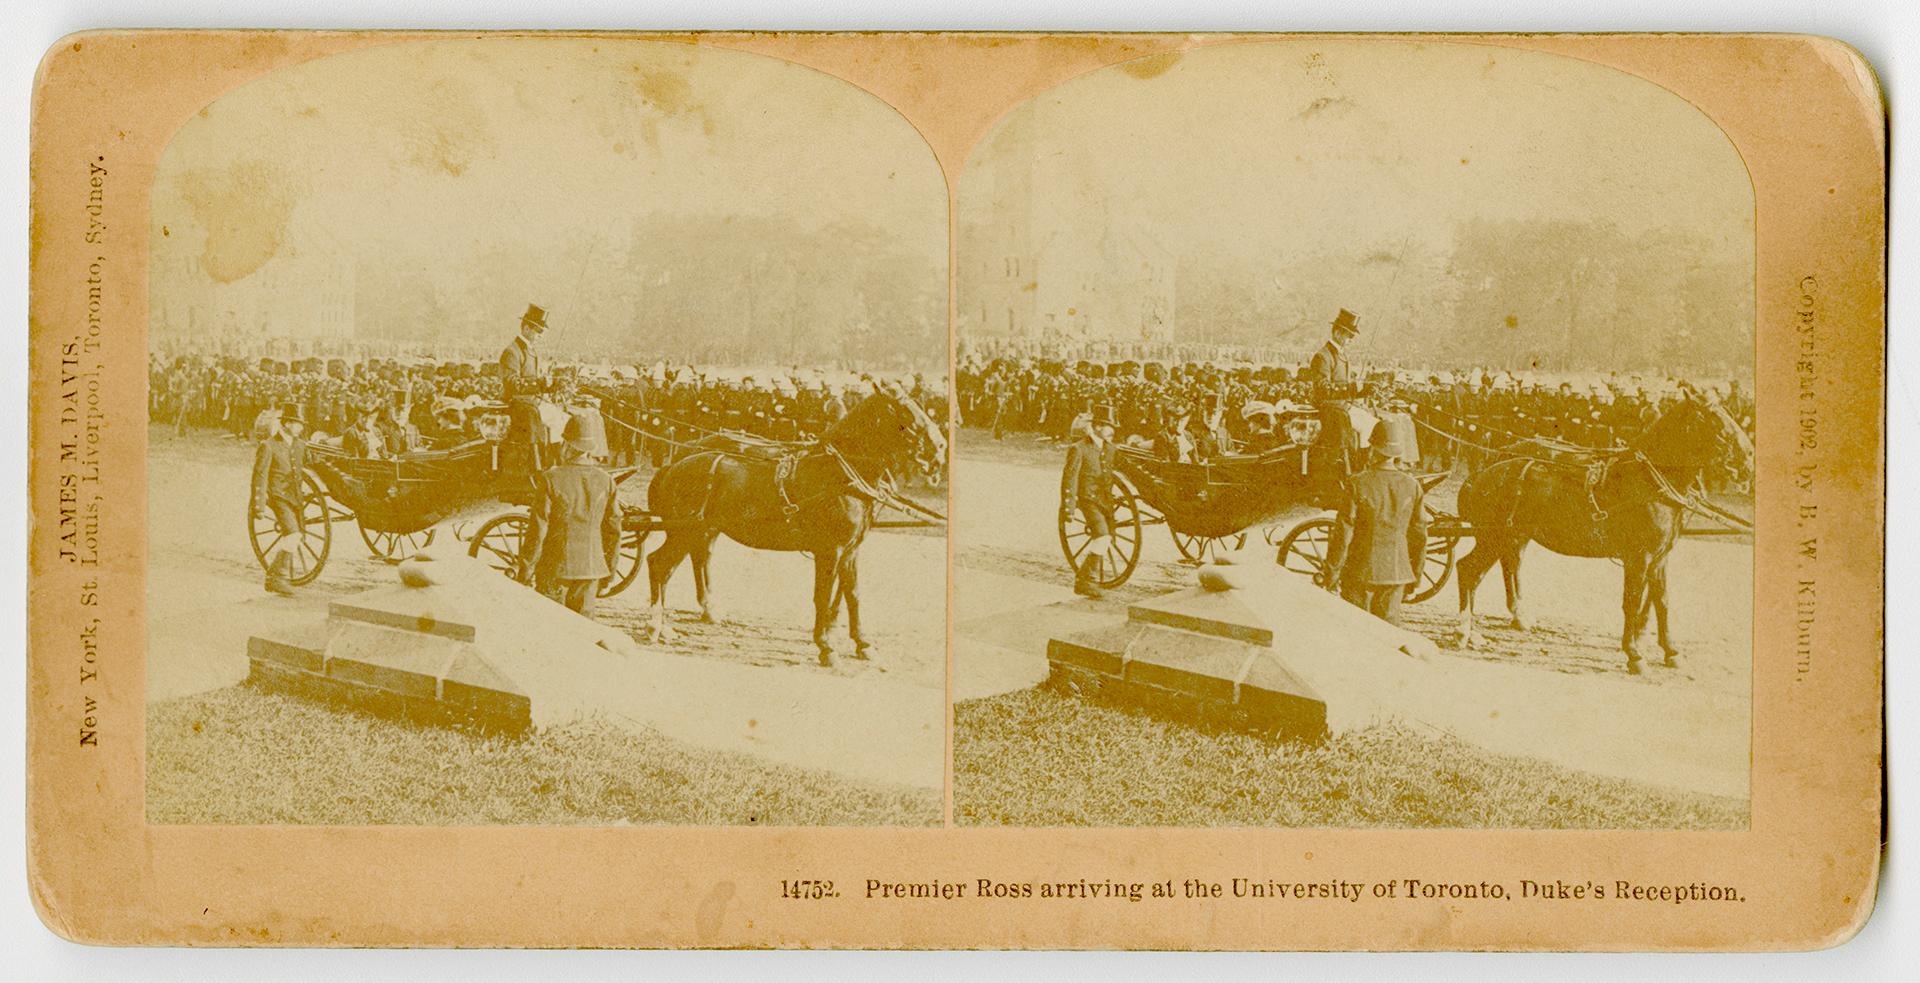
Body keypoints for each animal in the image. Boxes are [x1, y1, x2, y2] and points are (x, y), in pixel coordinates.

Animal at [645, 387, 944, 664]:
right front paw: (826, 647)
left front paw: (863, 644)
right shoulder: (829, 551)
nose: (940, 449)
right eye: (904, 412)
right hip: (683, 532)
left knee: (688, 561)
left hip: (700, 530)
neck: (837, 474)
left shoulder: (851, 550)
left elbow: (853, 594)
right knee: (658, 564)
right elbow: (822, 596)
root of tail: (674, 465)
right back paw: (656, 624)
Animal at [1451, 391, 1758, 675]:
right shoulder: (1638, 558)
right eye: (1713, 418)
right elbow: (1632, 602)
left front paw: (1670, 651)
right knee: (1468, 570)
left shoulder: (1660, 558)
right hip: (1493, 538)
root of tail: (1480, 475)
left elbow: (1662, 601)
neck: (1648, 482)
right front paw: (1634, 655)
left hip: (1511, 537)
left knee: (1500, 567)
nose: (1748, 460)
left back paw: (1497, 623)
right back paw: (1465, 631)